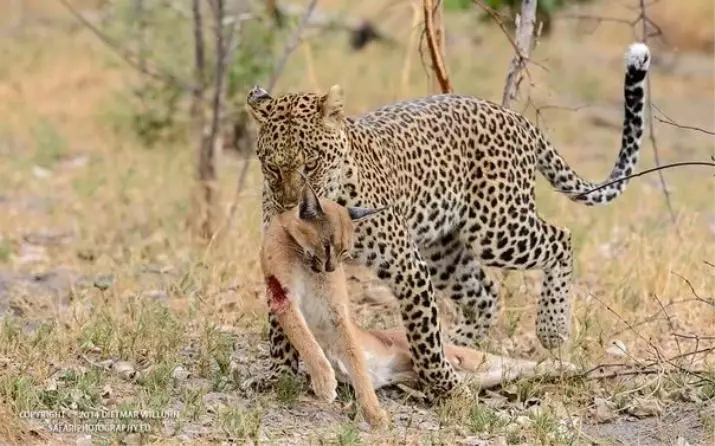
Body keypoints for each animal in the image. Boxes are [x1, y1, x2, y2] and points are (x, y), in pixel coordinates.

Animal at [248, 43, 656, 402]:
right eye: (272, 167)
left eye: (311, 164)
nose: (289, 207)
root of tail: (516, 118)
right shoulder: (280, 261)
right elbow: (282, 327)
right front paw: (277, 375)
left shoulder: (406, 264)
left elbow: (423, 334)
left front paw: (447, 388)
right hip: (444, 248)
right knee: (485, 293)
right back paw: (460, 341)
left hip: (496, 227)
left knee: (562, 238)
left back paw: (551, 328)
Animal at [260, 182, 580, 428]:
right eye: (327, 245)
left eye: (344, 251)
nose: (330, 268)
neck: (304, 260)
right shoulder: (284, 297)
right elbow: (306, 340)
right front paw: (326, 381)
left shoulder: (336, 313)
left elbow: (353, 356)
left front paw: (374, 413)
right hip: (475, 375)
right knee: (514, 369)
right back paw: (568, 370)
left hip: (469, 359)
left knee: (516, 362)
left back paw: (568, 363)